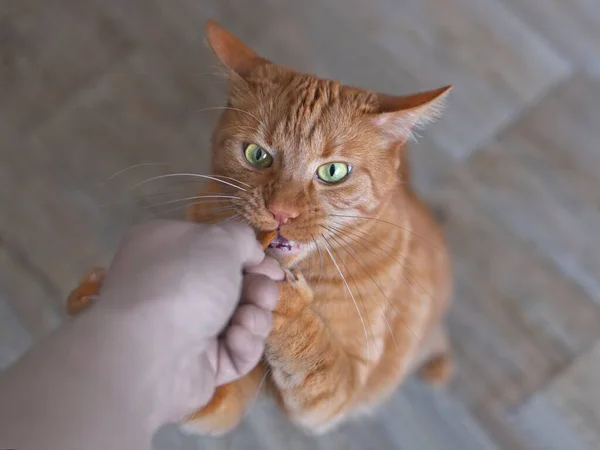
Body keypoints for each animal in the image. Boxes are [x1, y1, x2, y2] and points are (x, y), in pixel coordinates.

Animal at [65, 21, 452, 436]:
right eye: (257, 154)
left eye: (334, 172)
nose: (281, 213)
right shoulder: (229, 393)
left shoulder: (337, 395)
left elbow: (317, 358)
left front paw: (287, 302)